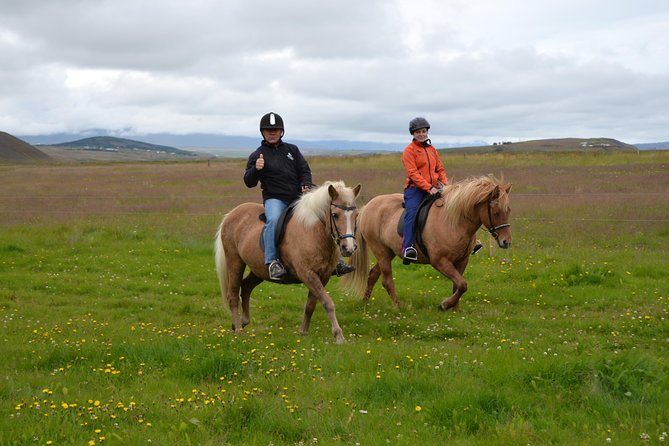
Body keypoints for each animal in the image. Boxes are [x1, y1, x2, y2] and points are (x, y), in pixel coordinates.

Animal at [214, 179, 360, 344]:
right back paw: (238, 330)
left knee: (246, 287)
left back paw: (242, 322)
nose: (349, 247)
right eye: (335, 215)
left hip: (259, 270)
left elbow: (310, 305)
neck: (312, 232)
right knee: (233, 295)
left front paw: (303, 332)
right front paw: (339, 336)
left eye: (356, 215)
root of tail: (231, 214)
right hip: (235, 262)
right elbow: (328, 303)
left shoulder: (323, 276)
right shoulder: (308, 274)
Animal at [344, 174, 512, 310]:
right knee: (386, 281)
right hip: (382, 252)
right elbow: (462, 284)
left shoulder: (462, 260)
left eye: (508, 210)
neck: (454, 222)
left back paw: (365, 302)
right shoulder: (440, 261)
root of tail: (367, 207)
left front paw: (455, 309)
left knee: (373, 274)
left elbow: (458, 285)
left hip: (388, 252)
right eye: (496, 212)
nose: (507, 242)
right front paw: (445, 305)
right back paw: (399, 306)